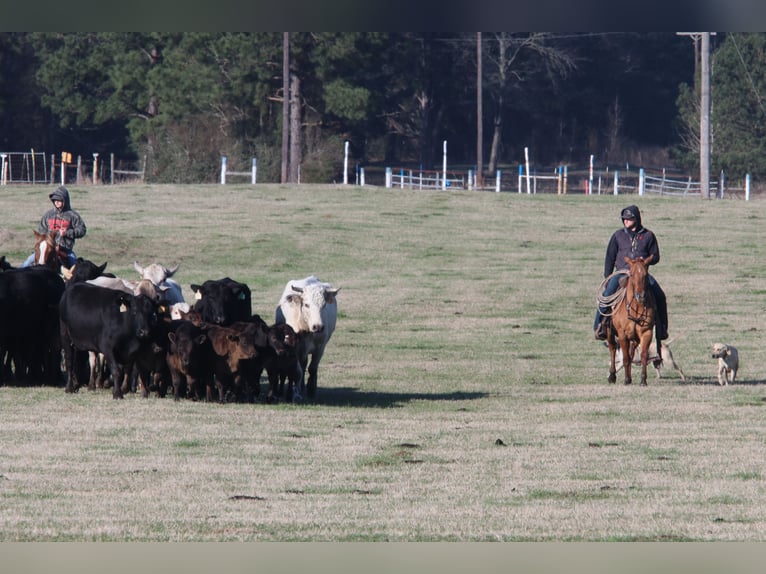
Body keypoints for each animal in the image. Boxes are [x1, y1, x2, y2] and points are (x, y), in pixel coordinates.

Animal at [608, 255, 656, 388]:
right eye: (632, 274)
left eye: (645, 274)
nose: (641, 296)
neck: (636, 307)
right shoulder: (622, 334)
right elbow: (624, 358)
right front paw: (625, 379)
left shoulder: (647, 332)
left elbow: (643, 355)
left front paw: (643, 380)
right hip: (610, 332)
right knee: (612, 349)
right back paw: (612, 376)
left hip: (634, 339)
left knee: (631, 354)